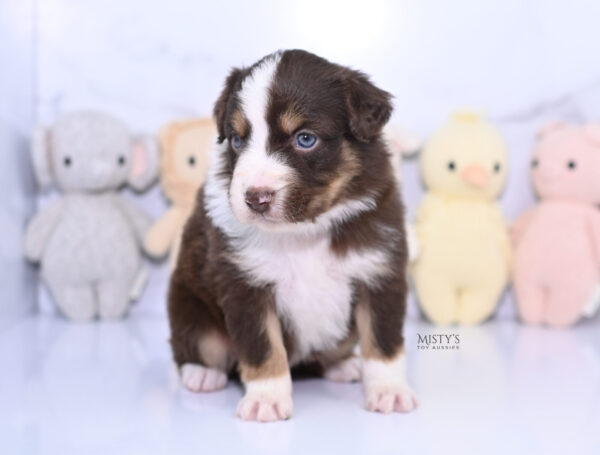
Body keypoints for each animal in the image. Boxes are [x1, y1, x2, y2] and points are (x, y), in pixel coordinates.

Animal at [165, 50, 418, 424]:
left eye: (305, 139)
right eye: (237, 140)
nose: (256, 198)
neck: (305, 232)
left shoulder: (379, 271)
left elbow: (383, 340)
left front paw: (389, 391)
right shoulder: (244, 284)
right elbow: (263, 347)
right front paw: (266, 399)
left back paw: (343, 365)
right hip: (189, 307)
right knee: (198, 345)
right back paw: (201, 374)